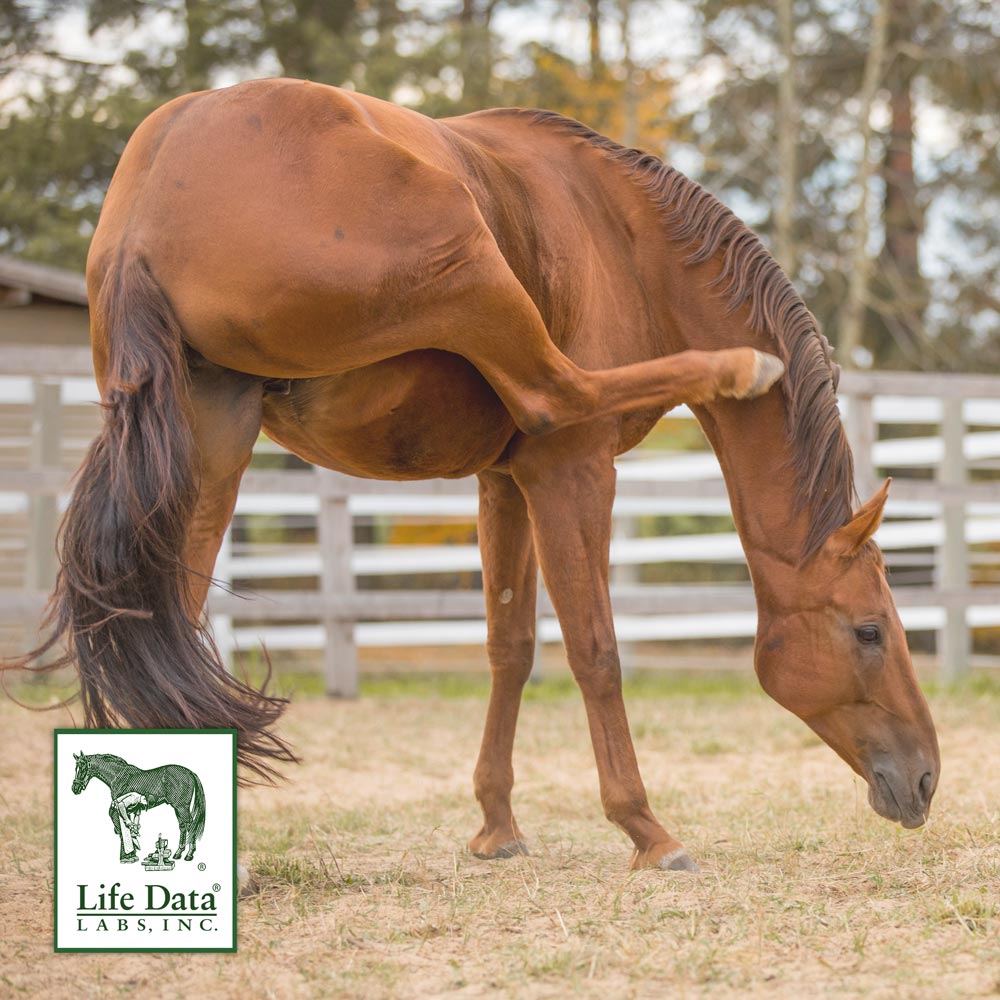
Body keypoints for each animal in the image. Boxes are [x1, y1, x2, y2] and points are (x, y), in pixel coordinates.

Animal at [21, 82, 936, 872]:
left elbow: (510, 646)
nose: (927, 777)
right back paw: (738, 367)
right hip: (463, 264)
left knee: (175, 611)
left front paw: (496, 824)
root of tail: (152, 205)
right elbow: (595, 650)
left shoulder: (503, 483)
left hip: (212, 441)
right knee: (555, 390)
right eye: (870, 631)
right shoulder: (569, 471)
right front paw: (645, 828)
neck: (627, 239)